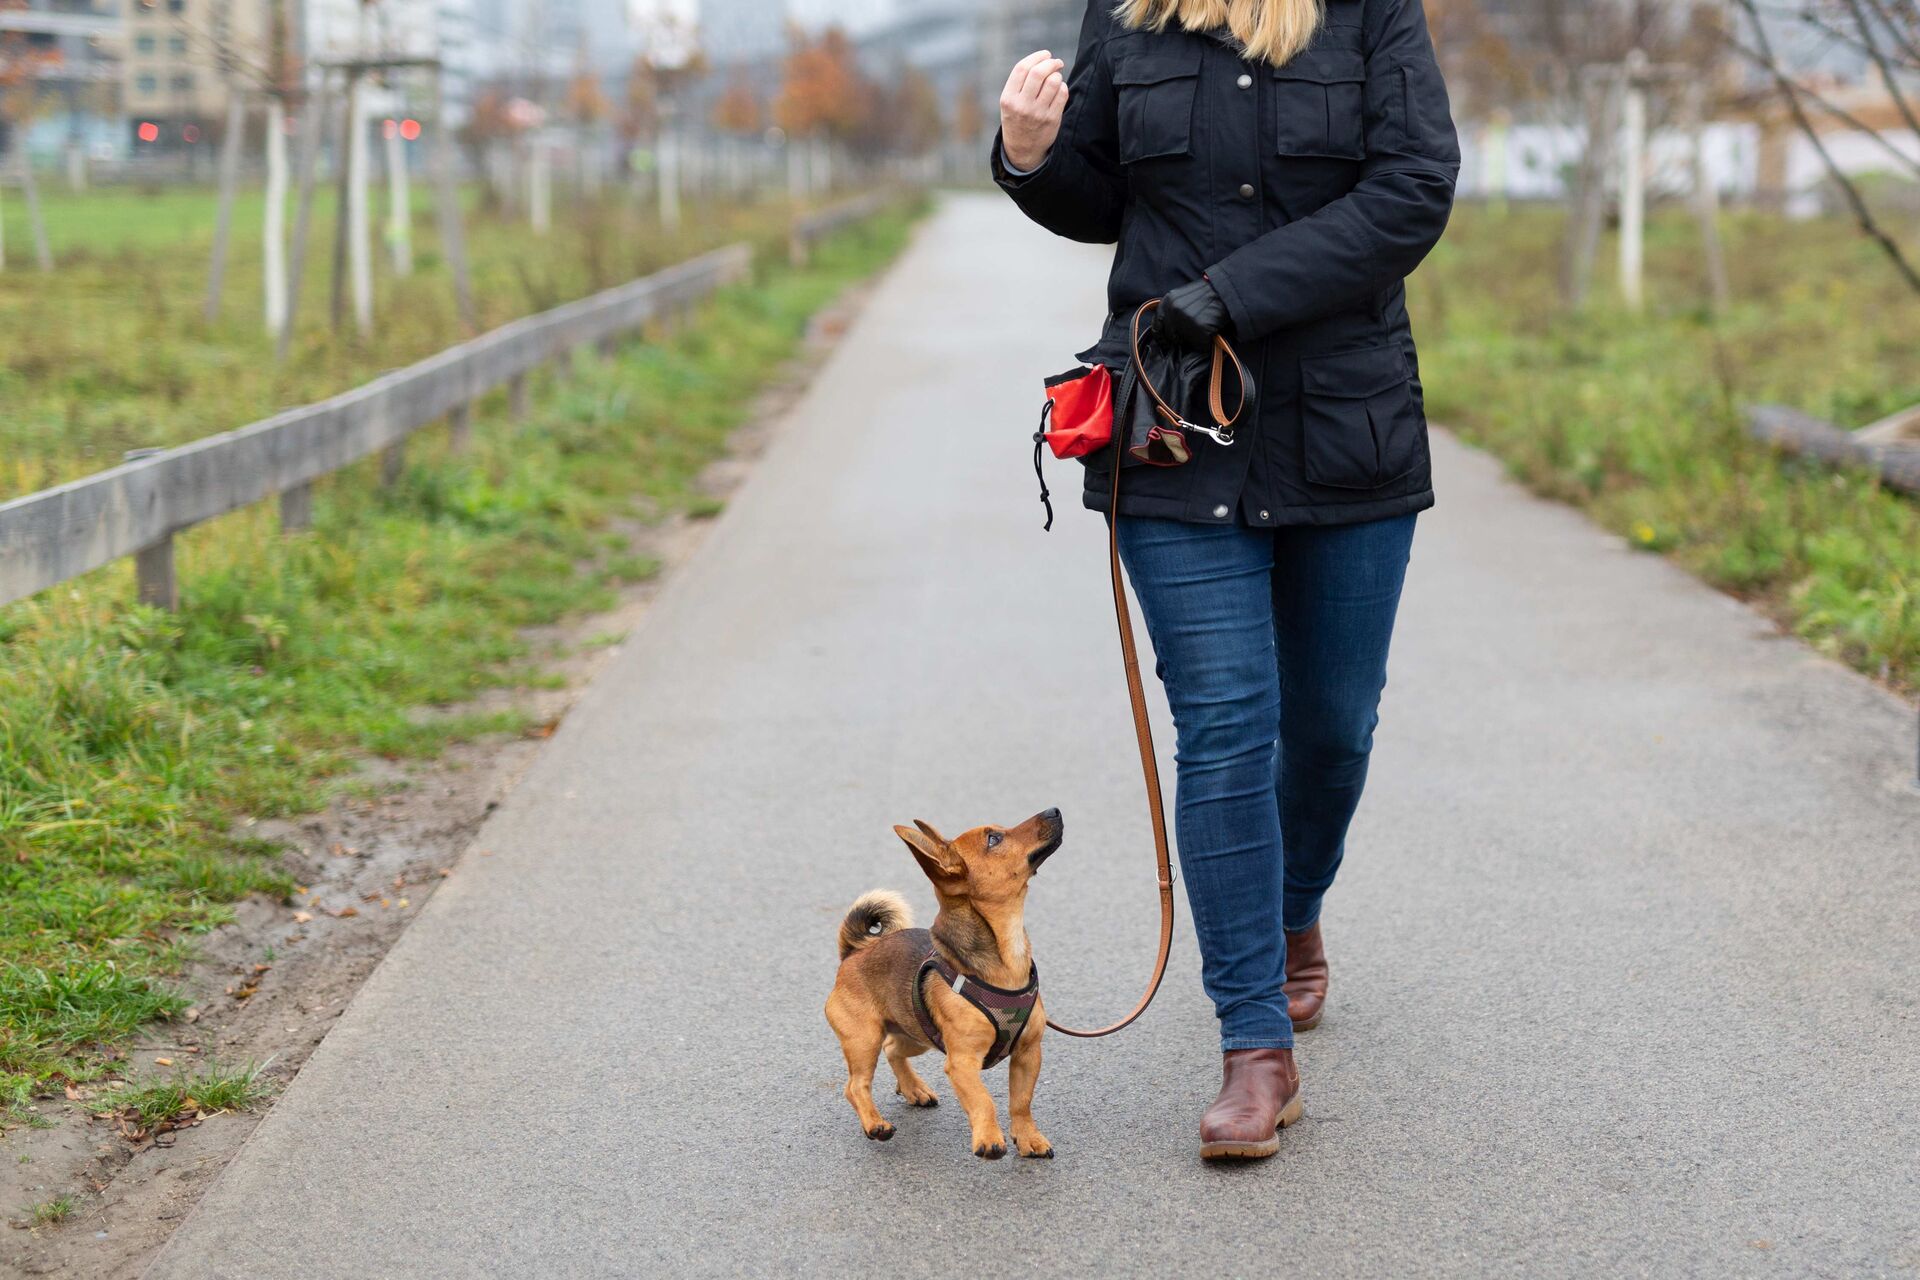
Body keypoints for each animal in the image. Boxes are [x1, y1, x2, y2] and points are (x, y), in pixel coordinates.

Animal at [825, 809, 1067, 1159]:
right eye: (994, 839)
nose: (1054, 810)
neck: (1005, 956)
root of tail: (854, 952)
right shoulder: (962, 1063)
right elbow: (983, 1101)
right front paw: (989, 1139)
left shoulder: (1027, 1053)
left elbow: (1021, 1102)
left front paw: (1028, 1137)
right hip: (863, 1040)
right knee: (856, 1085)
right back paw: (875, 1124)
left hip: (915, 1034)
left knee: (892, 1048)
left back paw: (914, 1089)